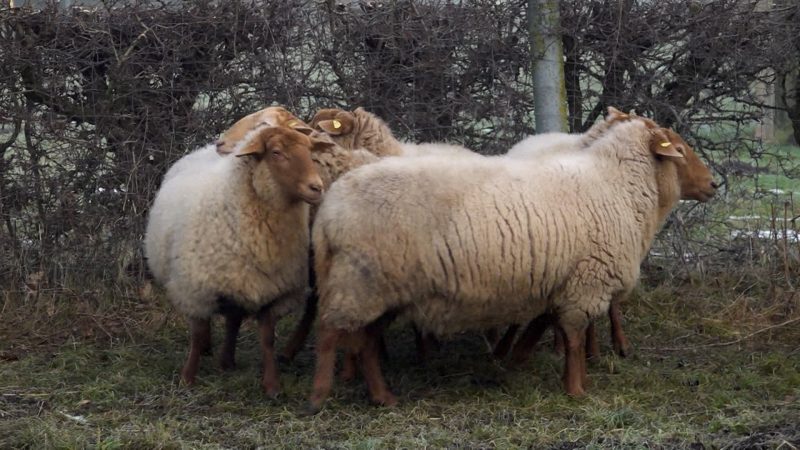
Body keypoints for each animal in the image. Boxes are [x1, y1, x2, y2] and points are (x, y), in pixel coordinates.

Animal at [145, 125, 332, 396]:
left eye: (310, 150)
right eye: (276, 152)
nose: (316, 187)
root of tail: (203, 149)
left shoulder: (272, 292)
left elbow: (267, 339)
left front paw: (272, 385)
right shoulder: (194, 288)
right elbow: (197, 334)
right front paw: (187, 377)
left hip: (238, 279)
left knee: (233, 320)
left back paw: (227, 361)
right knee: (207, 326)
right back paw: (209, 350)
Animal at [306, 110, 720, 410]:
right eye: (679, 148)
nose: (714, 184)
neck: (616, 184)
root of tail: (330, 209)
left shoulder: (566, 283)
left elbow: (551, 328)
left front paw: (530, 364)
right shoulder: (585, 282)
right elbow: (572, 339)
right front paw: (576, 390)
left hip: (379, 287)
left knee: (365, 341)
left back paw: (383, 397)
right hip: (360, 281)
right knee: (329, 333)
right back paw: (319, 397)